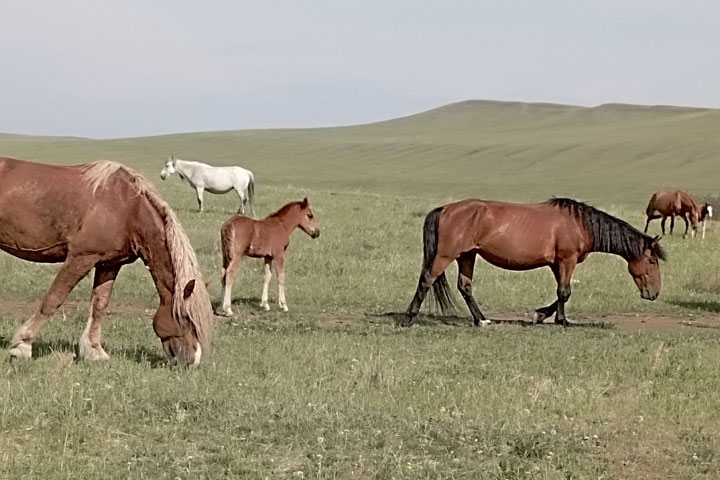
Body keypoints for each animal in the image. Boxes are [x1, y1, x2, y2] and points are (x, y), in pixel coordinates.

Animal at [0, 156, 212, 366]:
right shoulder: (81, 258)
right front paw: (22, 346)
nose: (192, 361)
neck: (128, 210)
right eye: (186, 318)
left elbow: (100, 305)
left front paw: (94, 351)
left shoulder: (109, 264)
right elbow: (53, 299)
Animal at [408, 198, 668, 326]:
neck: (580, 224)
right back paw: (410, 317)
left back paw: (481, 320)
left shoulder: (556, 263)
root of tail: (445, 209)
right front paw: (561, 321)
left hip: (467, 255)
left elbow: (560, 293)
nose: (654, 293)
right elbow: (565, 292)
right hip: (446, 255)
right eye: (652, 260)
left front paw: (540, 315)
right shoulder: (567, 260)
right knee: (427, 279)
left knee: (465, 286)